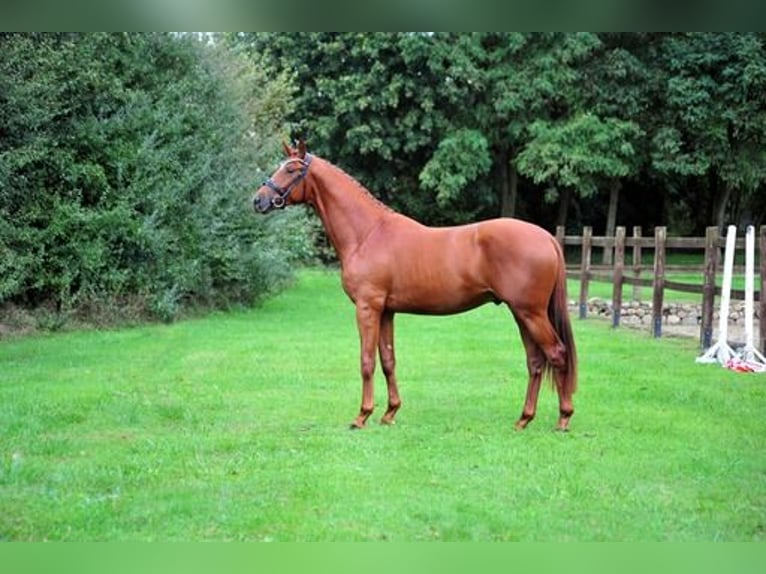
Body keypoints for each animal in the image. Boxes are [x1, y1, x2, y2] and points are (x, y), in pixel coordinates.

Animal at [253, 141, 577, 431]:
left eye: (292, 169)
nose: (258, 200)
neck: (368, 233)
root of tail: (547, 238)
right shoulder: (386, 311)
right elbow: (388, 360)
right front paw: (389, 413)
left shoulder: (367, 308)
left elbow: (367, 361)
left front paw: (362, 416)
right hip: (522, 314)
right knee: (535, 361)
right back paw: (524, 419)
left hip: (531, 313)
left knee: (557, 354)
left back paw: (563, 419)